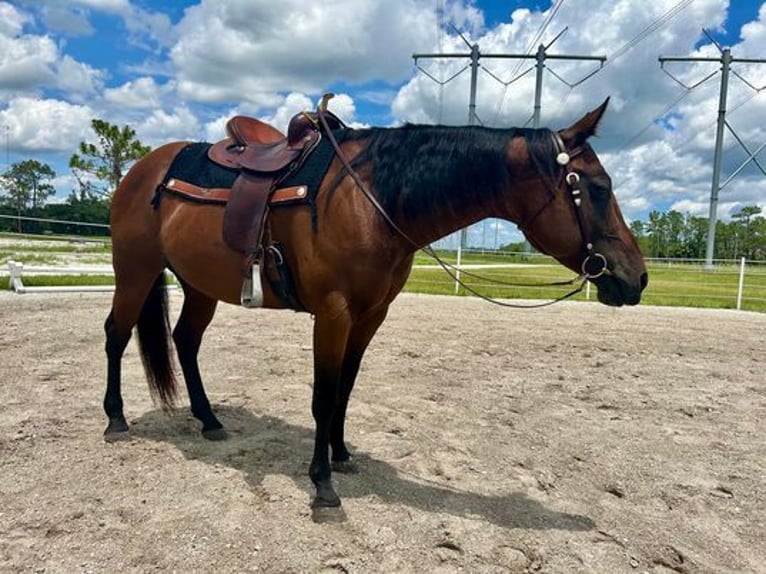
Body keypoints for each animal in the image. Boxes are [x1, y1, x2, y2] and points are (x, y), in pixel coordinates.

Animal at [103, 98, 647, 514]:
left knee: (185, 341)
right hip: (134, 271)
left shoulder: (370, 316)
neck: (373, 199)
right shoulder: (334, 313)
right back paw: (116, 420)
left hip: (199, 285)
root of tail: (143, 169)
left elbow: (345, 389)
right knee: (116, 334)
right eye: (599, 189)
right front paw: (322, 485)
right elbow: (324, 396)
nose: (636, 277)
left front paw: (342, 455)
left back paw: (210, 421)